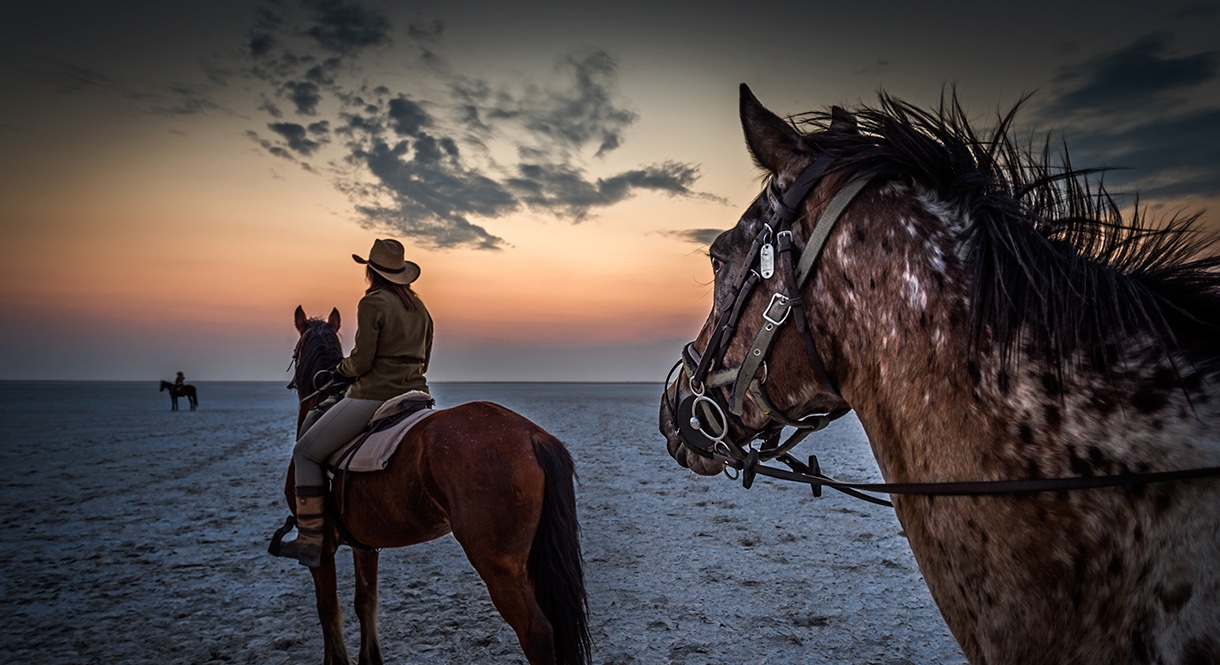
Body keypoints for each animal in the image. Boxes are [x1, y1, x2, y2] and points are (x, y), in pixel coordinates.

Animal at [275, 306, 585, 663]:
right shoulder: (363, 545)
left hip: (499, 564)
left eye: (295, 352)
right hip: (527, 561)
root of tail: (533, 436)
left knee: (537, 632)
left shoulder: (322, 548)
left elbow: (328, 609)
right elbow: (365, 603)